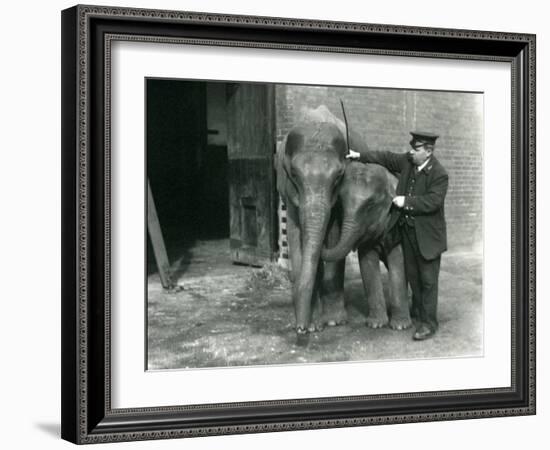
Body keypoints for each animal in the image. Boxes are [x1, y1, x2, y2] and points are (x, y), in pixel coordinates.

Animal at [322, 160, 412, 328]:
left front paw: (400, 326)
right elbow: (367, 262)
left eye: (370, 206)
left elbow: (398, 260)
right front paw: (375, 324)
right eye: (341, 205)